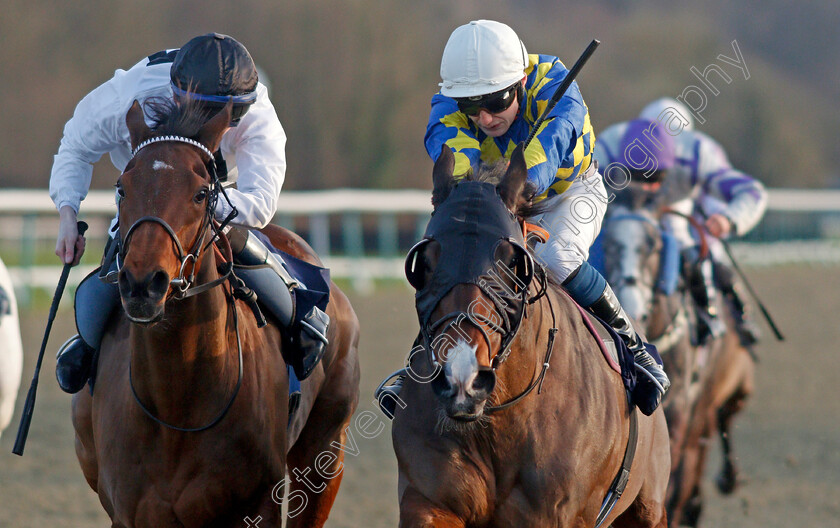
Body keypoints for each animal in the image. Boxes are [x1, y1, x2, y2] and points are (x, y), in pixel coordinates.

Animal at [71, 100, 358, 528]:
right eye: (122, 187)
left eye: (201, 193)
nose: (143, 284)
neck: (176, 406)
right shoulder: (129, 511)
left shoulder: (257, 504)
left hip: (324, 454)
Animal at [392, 146, 668, 528]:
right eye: (425, 264)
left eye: (513, 262)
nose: (462, 380)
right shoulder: (428, 500)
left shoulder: (555, 515)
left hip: (649, 509)